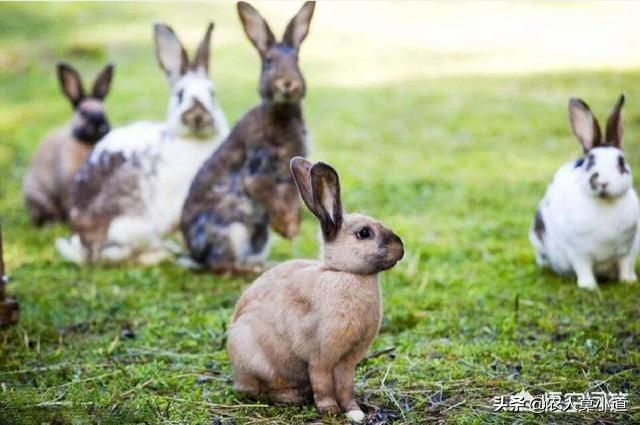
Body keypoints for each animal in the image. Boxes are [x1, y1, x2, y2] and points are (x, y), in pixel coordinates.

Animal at [56, 22, 229, 264]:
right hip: (129, 227)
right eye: (180, 95)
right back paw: (160, 254)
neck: (194, 140)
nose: (197, 115)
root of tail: (80, 246)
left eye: (212, 95)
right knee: (116, 254)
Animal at [180, 0, 316, 272]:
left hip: (257, 237)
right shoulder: (258, 172)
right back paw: (253, 269)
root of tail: (196, 256)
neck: (282, 112)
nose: (289, 84)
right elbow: (267, 194)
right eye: (270, 62)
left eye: (297, 60)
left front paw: (292, 230)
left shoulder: (290, 179)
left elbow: (291, 202)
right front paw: (288, 230)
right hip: (232, 231)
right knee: (223, 266)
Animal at [228, 157, 402, 422]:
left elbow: (346, 386)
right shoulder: (320, 356)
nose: (401, 248)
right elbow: (323, 384)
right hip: (256, 360)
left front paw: (354, 410)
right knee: (260, 390)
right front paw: (329, 409)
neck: (344, 273)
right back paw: (293, 396)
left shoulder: (348, 361)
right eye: (364, 233)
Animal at [528, 95, 640, 290]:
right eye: (590, 162)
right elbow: (584, 268)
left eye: (621, 162)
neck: (605, 203)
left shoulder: (629, 250)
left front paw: (629, 281)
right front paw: (589, 286)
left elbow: (626, 266)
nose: (602, 182)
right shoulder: (578, 252)